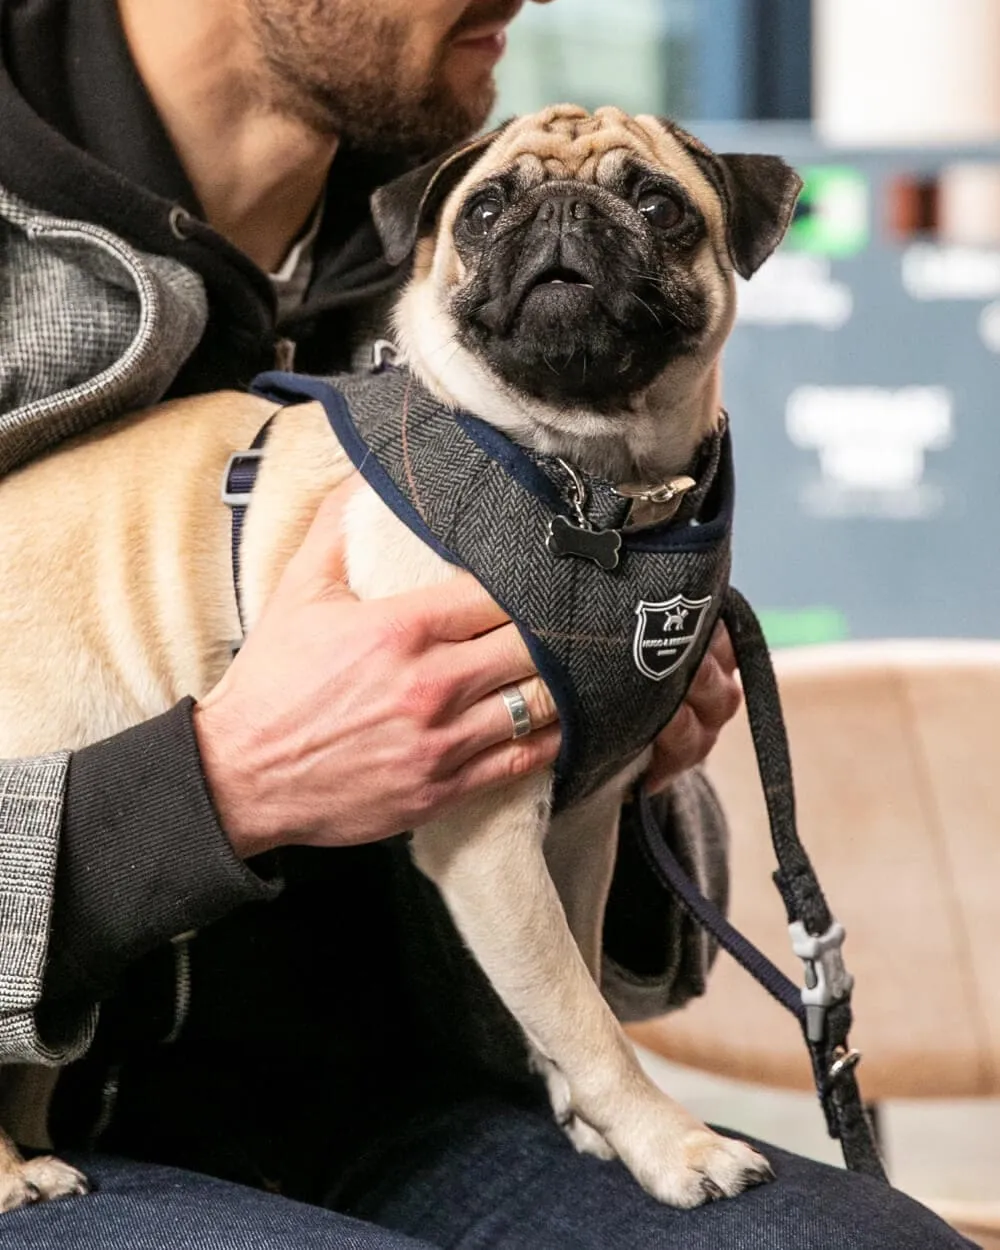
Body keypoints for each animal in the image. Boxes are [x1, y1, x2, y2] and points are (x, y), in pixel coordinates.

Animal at [0, 107, 800, 1210]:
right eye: (487, 210)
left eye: (658, 205)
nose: (562, 214)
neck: (593, 491)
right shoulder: (487, 837)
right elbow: (580, 1012)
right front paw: (668, 1141)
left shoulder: (580, 825)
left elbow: (576, 976)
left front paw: (589, 1120)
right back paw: (11, 1174)